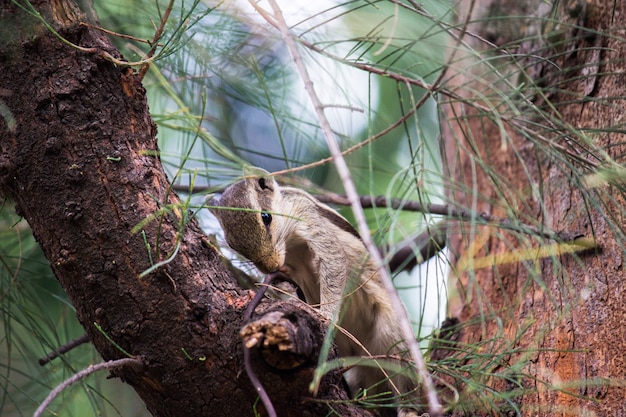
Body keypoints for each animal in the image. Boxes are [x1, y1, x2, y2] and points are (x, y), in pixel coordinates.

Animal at [208, 170, 420, 416]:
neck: (290, 245)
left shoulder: (311, 221)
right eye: (232, 244)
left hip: (393, 338)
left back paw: (409, 409)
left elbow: (333, 265)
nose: (271, 267)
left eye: (266, 217)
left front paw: (325, 315)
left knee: (403, 376)